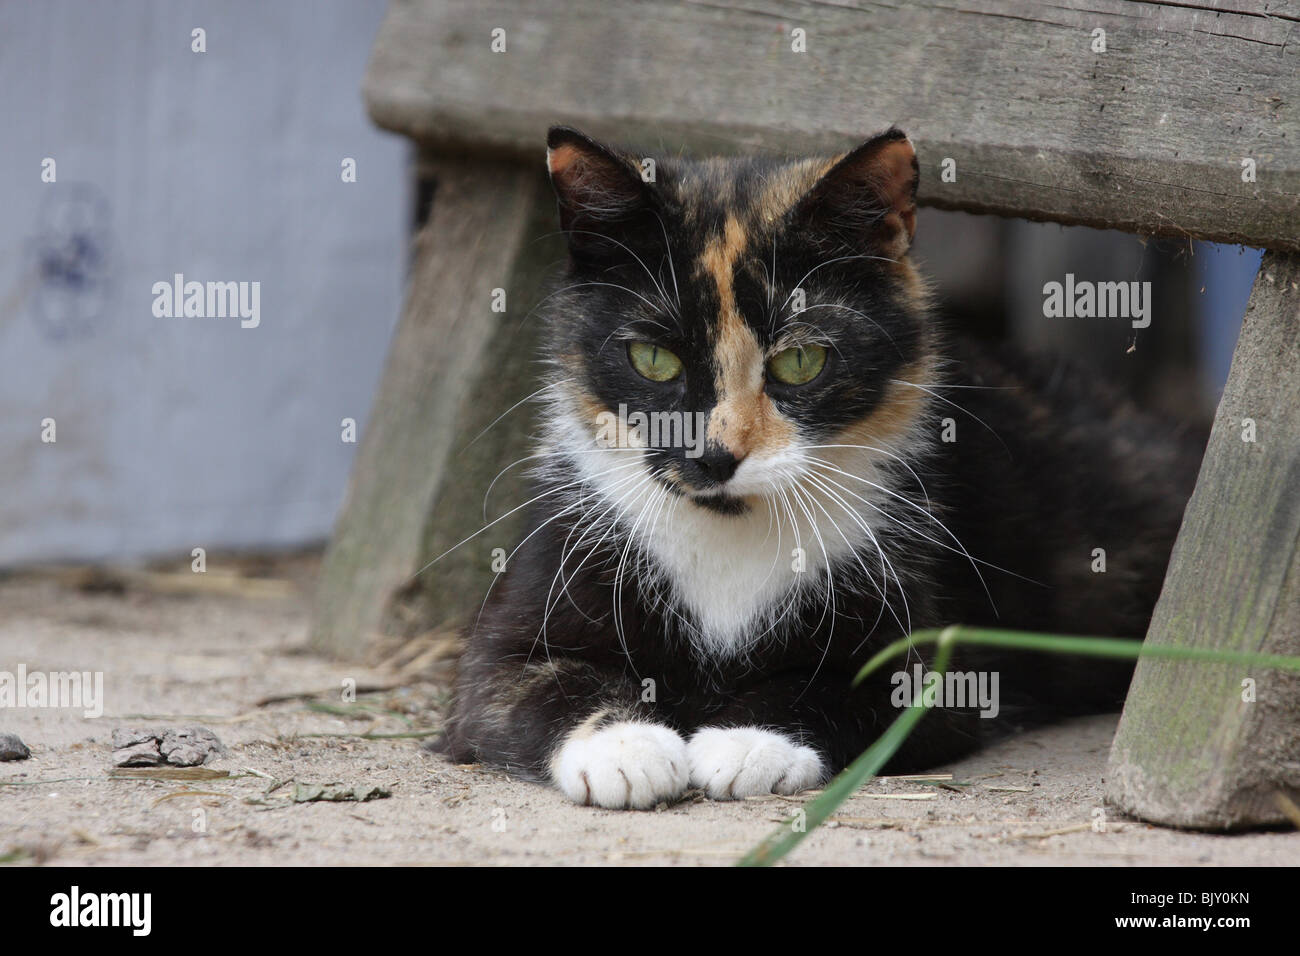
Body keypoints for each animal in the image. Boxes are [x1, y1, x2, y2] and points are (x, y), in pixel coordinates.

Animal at [434, 123, 1196, 811]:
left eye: (801, 360)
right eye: (653, 359)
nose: (715, 453)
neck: (729, 532)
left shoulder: (939, 653)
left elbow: (842, 686)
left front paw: (747, 740)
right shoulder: (533, 597)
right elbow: (523, 682)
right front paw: (626, 748)